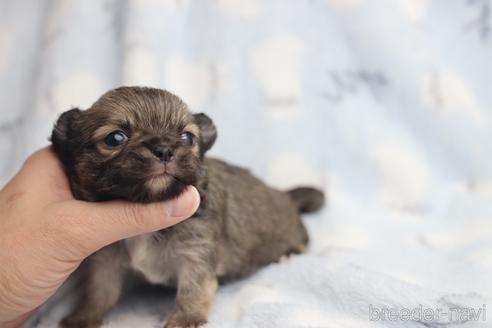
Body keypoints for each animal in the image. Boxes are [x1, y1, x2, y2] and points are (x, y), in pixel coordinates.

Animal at [52, 87, 324, 328]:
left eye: (187, 137)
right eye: (115, 138)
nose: (164, 149)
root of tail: (285, 196)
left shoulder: (196, 253)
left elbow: (193, 289)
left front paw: (185, 319)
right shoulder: (106, 259)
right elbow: (99, 291)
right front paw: (84, 316)